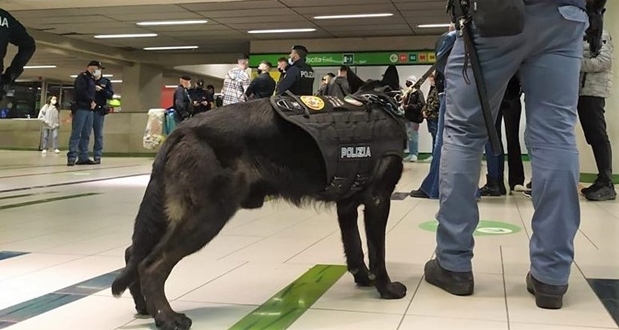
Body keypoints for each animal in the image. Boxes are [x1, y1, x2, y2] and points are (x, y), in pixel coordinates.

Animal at [112, 67, 412, 330]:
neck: (377, 101)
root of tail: (182, 130)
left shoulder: (346, 207)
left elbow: (355, 249)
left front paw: (363, 279)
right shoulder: (378, 201)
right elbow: (377, 251)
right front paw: (386, 288)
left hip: (171, 214)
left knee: (133, 254)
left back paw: (146, 308)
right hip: (208, 215)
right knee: (151, 265)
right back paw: (167, 318)